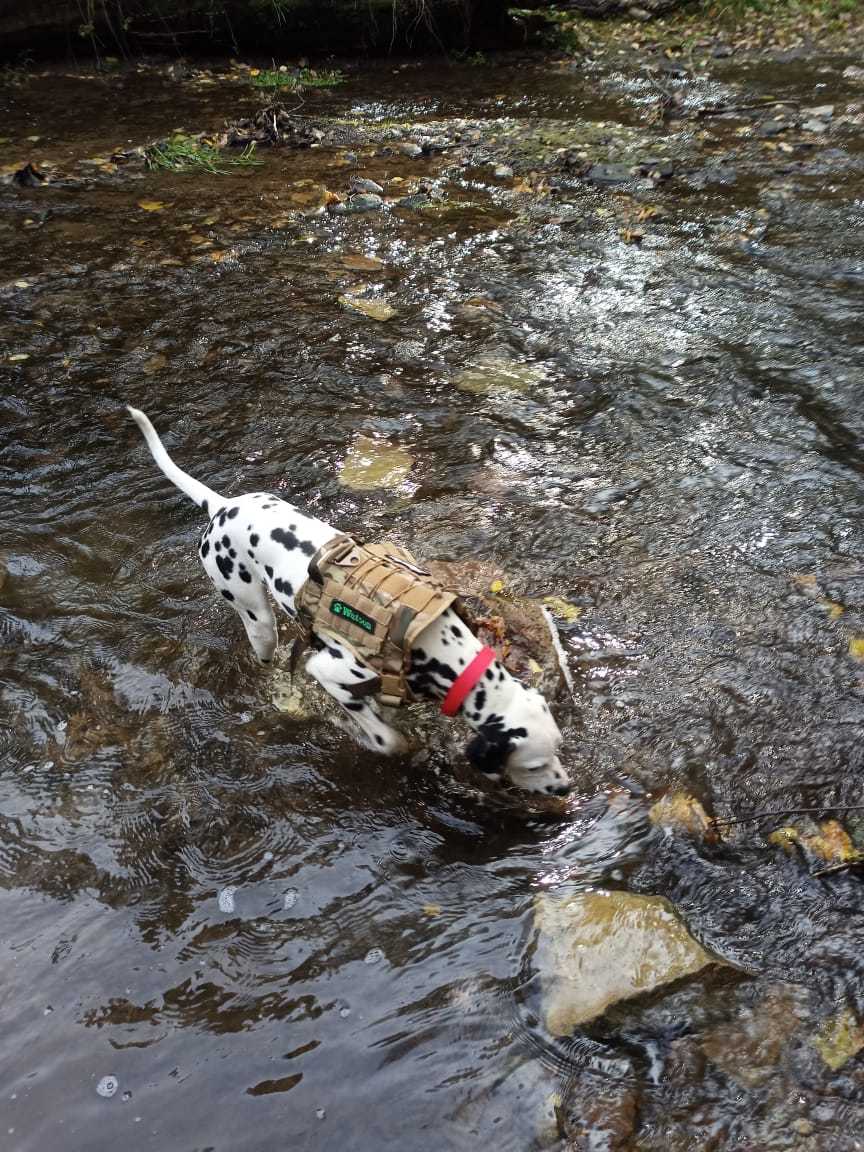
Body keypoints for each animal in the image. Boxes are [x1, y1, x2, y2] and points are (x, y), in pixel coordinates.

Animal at [128, 410, 571, 797]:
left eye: (559, 749)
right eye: (533, 765)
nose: (564, 788)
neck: (437, 647)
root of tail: (222, 506)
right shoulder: (328, 671)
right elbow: (385, 737)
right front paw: (382, 741)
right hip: (257, 620)